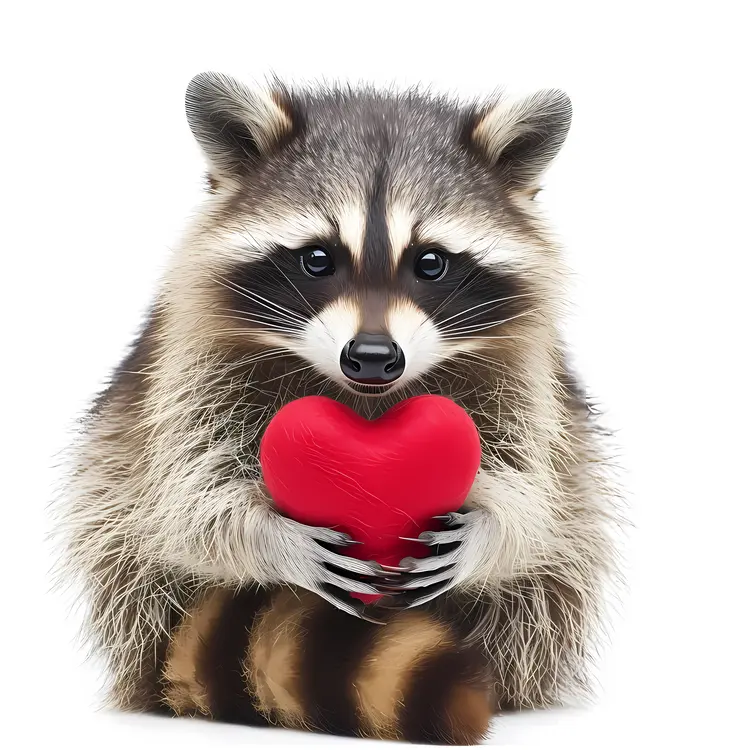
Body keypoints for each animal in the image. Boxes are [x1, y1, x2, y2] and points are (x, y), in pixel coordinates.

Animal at [56, 72, 618, 744]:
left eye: (430, 262)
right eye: (317, 259)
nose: (373, 357)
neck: (366, 401)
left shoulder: (527, 376)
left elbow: (538, 491)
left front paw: (491, 528)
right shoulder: (184, 368)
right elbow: (185, 497)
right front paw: (272, 538)